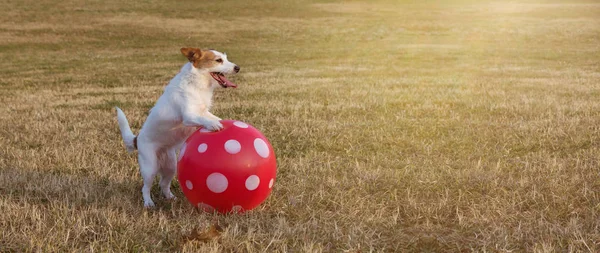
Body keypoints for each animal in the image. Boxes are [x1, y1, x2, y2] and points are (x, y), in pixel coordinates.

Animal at [115, 47, 239, 208]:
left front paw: (223, 121)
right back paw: (148, 203)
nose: (237, 68)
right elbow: (203, 119)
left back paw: (171, 198)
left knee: (163, 184)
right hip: (150, 167)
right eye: (218, 60)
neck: (197, 83)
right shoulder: (189, 116)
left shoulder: (203, 111)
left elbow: (212, 116)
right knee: (146, 187)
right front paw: (213, 125)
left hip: (170, 166)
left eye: (226, 58)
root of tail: (137, 139)